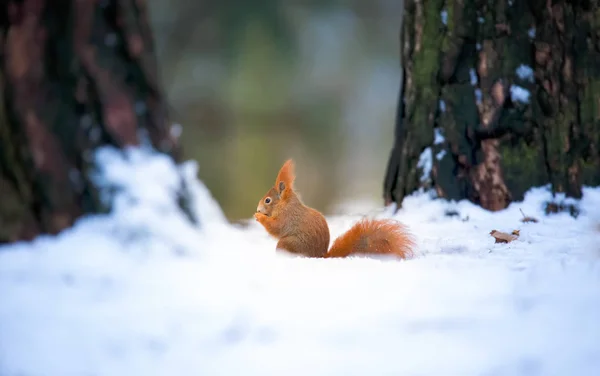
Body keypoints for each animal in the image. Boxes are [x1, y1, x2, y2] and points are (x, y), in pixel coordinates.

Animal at [251, 158, 414, 258]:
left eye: (267, 200)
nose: (258, 209)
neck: (285, 204)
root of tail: (319, 257)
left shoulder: (287, 217)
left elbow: (276, 228)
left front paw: (259, 217)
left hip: (287, 244)